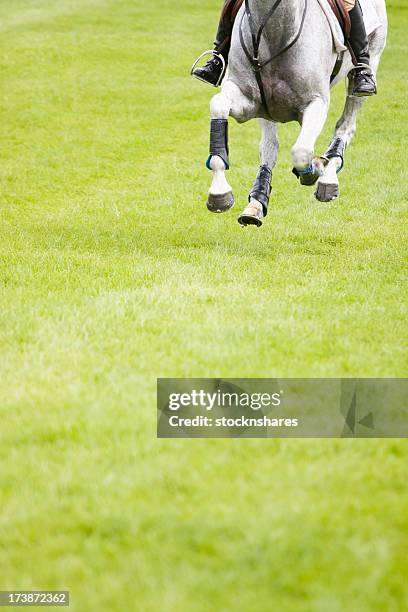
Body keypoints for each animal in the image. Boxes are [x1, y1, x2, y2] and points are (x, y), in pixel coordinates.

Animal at [206, 0, 388, 225]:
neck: (273, 32)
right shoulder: (248, 102)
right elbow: (218, 105)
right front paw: (219, 194)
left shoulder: (316, 103)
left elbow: (301, 152)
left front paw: (317, 168)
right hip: (267, 111)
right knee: (269, 148)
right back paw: (256, 202)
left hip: (370, 61)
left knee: (346, 124)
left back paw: (328, 179)